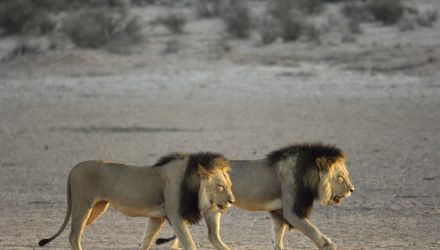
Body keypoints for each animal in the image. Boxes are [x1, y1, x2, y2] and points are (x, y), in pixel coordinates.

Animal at [38, 151, 235, 250]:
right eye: (220, 186)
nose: (232, 201)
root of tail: (74, 168)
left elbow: (146, 240)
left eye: (229, 185)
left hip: (96, 208)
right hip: (83, 205)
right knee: (74, 235)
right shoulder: (175, 214)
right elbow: (189, 243)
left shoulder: (158, 217)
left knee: (76, 234)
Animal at [157, 144, 354, 249]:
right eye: (340, 177)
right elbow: (313, 230)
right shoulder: (292, 211)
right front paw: (329, 245)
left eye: (347, 175)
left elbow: (278, 234)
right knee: (208, 235)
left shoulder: (279, 211)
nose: (352, 189)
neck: (307, 173)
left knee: (208, 235)